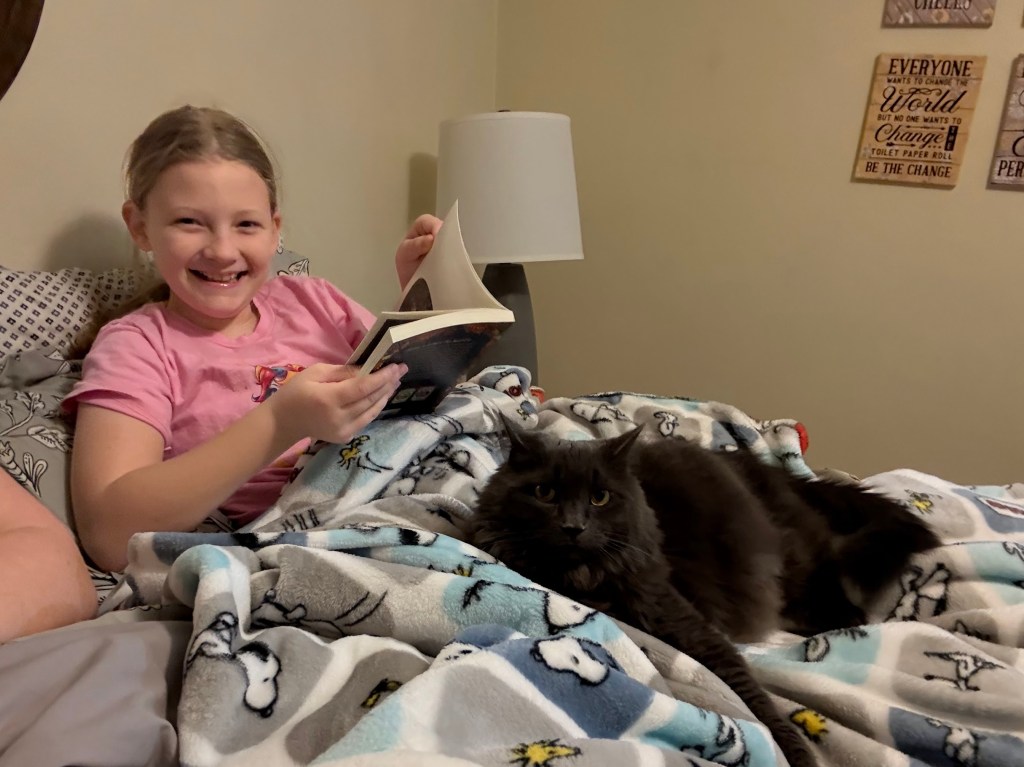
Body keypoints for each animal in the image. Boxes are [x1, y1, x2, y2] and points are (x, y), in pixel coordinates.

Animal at [468, 417, 940, 767]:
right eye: (544, 492)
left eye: (599, 498)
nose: (573, 526)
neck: (580, 578)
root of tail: (772, 471)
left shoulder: (681, 618)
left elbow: (752, 694)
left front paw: (799, 755)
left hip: (796, 559)